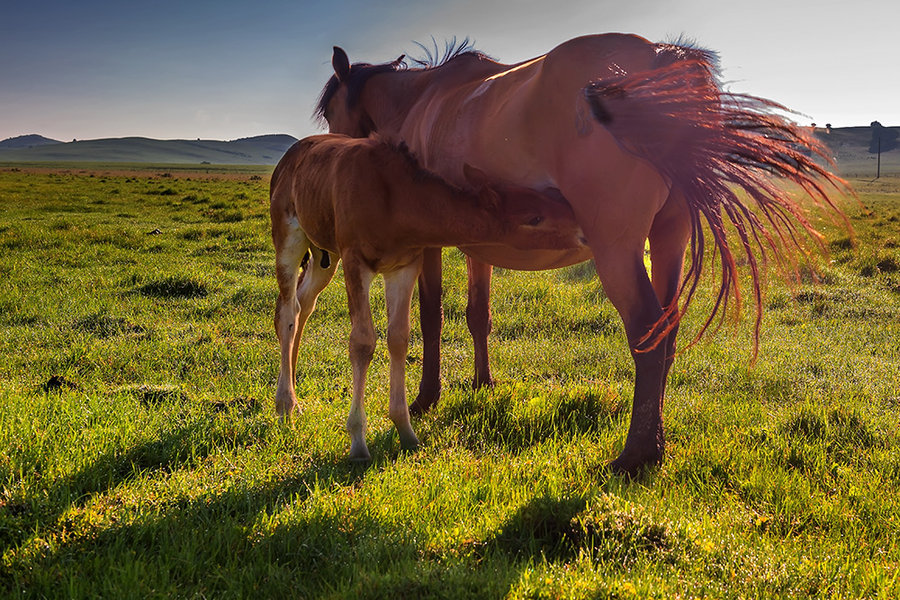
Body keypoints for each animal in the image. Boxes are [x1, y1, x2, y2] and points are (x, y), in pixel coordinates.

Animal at [268, 135, 580, 460]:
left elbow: (399, 338)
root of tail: (289, 158)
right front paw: (358, 440)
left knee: (303, 305)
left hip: (323, 254)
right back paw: (285, 404)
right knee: (287, 312)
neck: (395, 201)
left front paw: (405, 429)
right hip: (289, 236)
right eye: (535, 218)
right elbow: (363, 342)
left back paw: (294, 395)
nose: (582, 229)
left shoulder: (404, 266)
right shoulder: (355, 260)